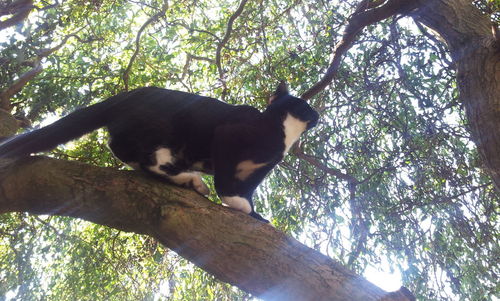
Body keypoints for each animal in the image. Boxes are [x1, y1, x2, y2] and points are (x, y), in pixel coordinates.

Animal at [0, 83, 318, 221]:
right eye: (309, 109)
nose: (318, 116)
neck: (278, 130)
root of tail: (125, 95)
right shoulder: (228, 136)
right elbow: (226, 182)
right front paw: (235, 203)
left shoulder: (258, 170)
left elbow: (248, 190)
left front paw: (252, 212)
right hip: (165, 127)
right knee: (141, 154)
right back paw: (188, 178)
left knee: (121, 148)